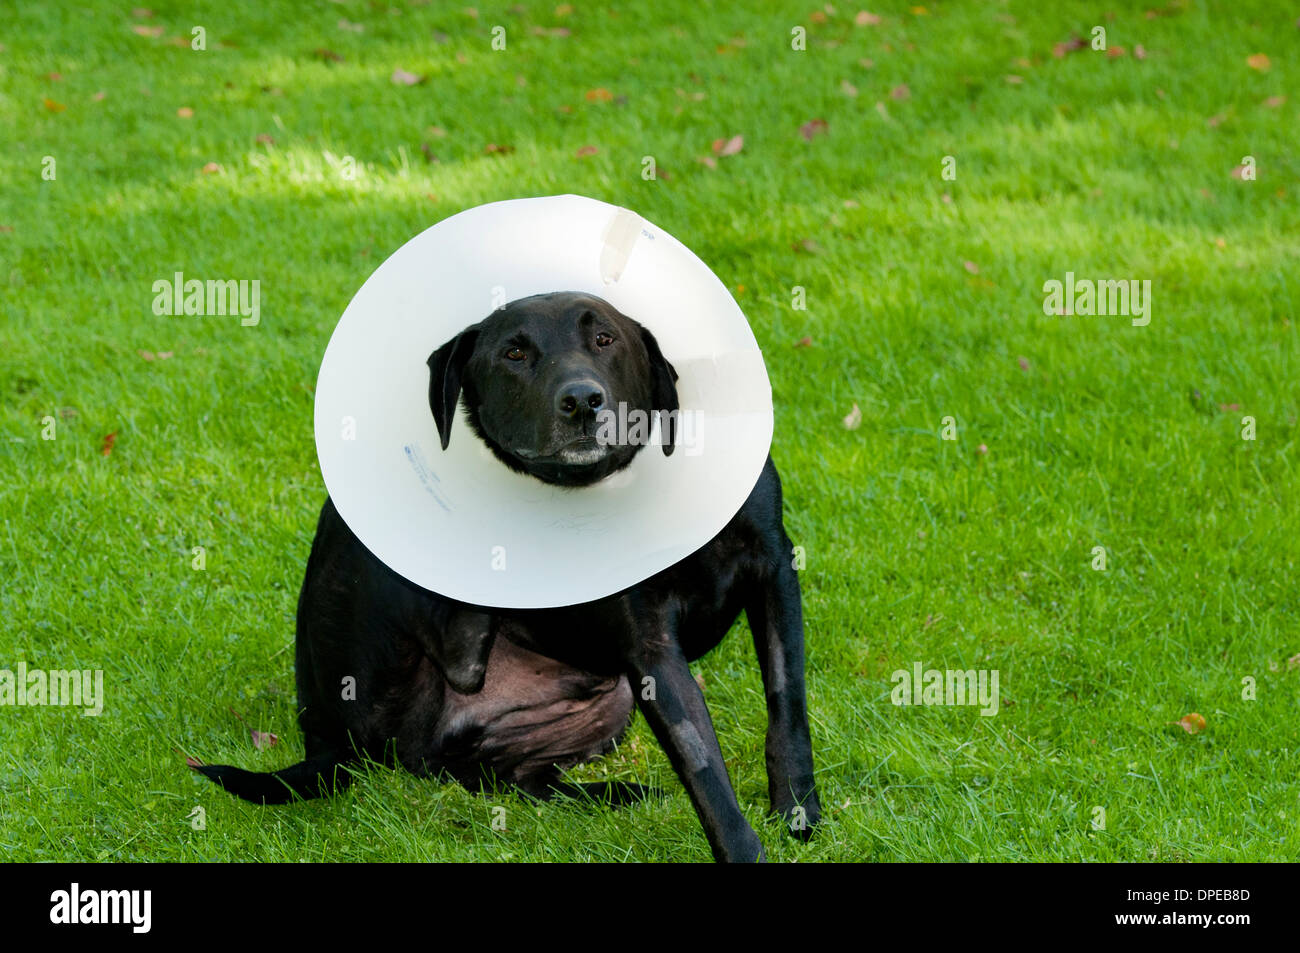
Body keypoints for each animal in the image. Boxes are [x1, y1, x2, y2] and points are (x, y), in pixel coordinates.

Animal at [196, 289, 816, 863]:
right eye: (514, 352)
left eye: (605, 339)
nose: (582, 401)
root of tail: (321, 736)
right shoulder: (648, 639)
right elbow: (700, 756)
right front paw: (744, 850)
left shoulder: (774, 569)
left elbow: (787, 707)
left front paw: (798, 812)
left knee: (514, 779)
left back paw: (616, 793)